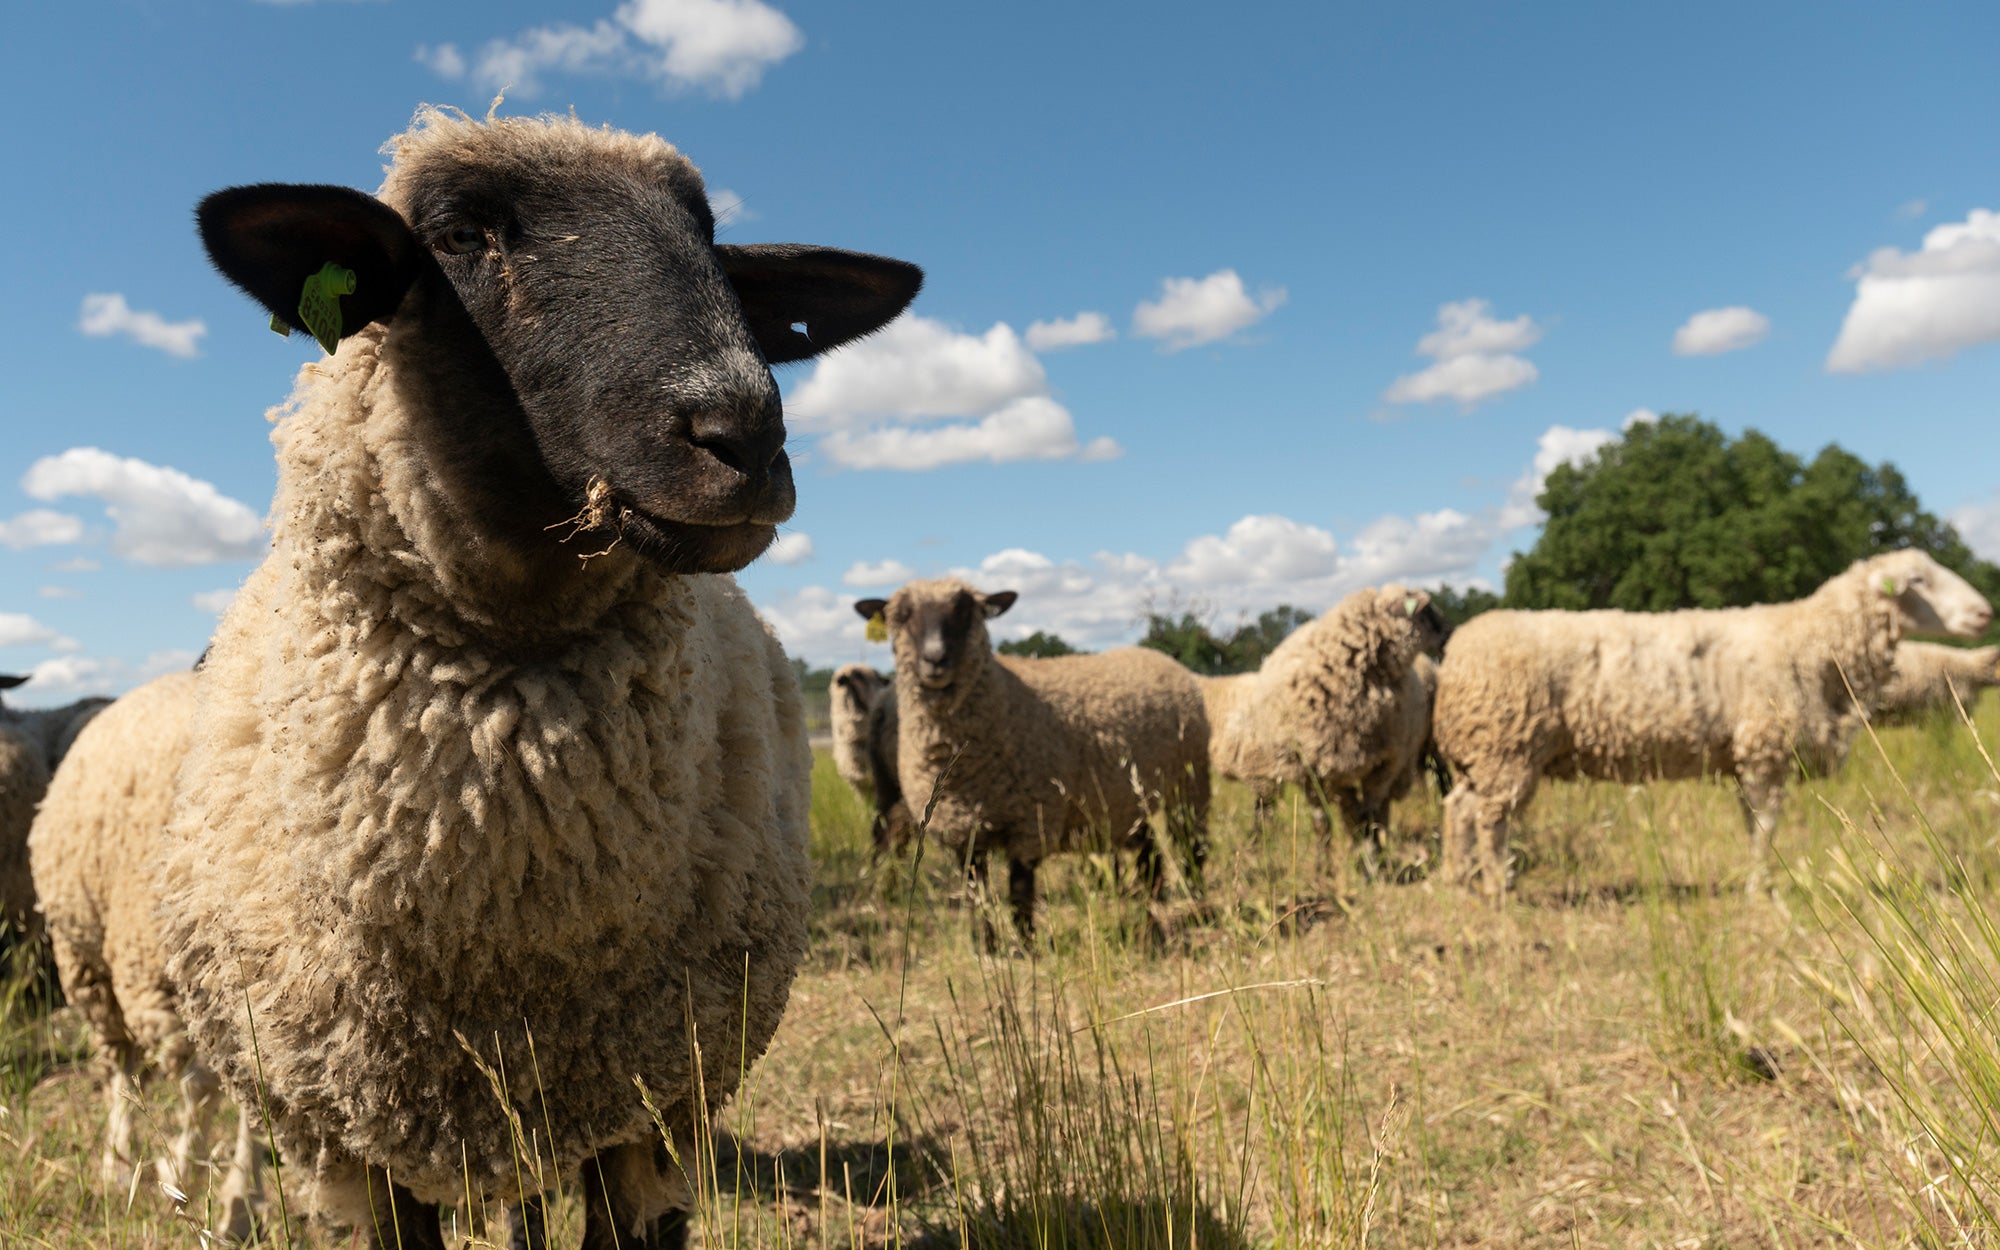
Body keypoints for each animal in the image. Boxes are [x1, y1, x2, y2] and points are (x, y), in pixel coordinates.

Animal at [27, 671, 260, 1240]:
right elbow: (201, 1088)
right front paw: (182, 1179)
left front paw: (242, 1201)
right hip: (91, 962)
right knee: (122, 1065)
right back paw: (116, 1158)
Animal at [856, 579, 1210, 944]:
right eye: (902, 615)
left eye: (965, 610)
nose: (935, 659)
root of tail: (1157, 655)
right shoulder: (960, 831)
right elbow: (977, 897)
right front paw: (988, 946)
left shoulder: (1030, 821)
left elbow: (1020, 894)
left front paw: (1025, 946)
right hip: (1131, 799)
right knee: (1149, 856)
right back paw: (1151, 917)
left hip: (1190, 785)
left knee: (1192, 848)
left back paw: (1198, 909)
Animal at [1210, 586, 1450, 878]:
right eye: (1426, 610)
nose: (1449, 634)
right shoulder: (1310, 770)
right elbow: (1321, 822)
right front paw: (1321, 871)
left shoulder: (1383, 764)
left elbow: (1370, 816)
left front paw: (1370, 868)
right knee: (1356, 811)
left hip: (1427, 749)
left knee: (1422, 791)